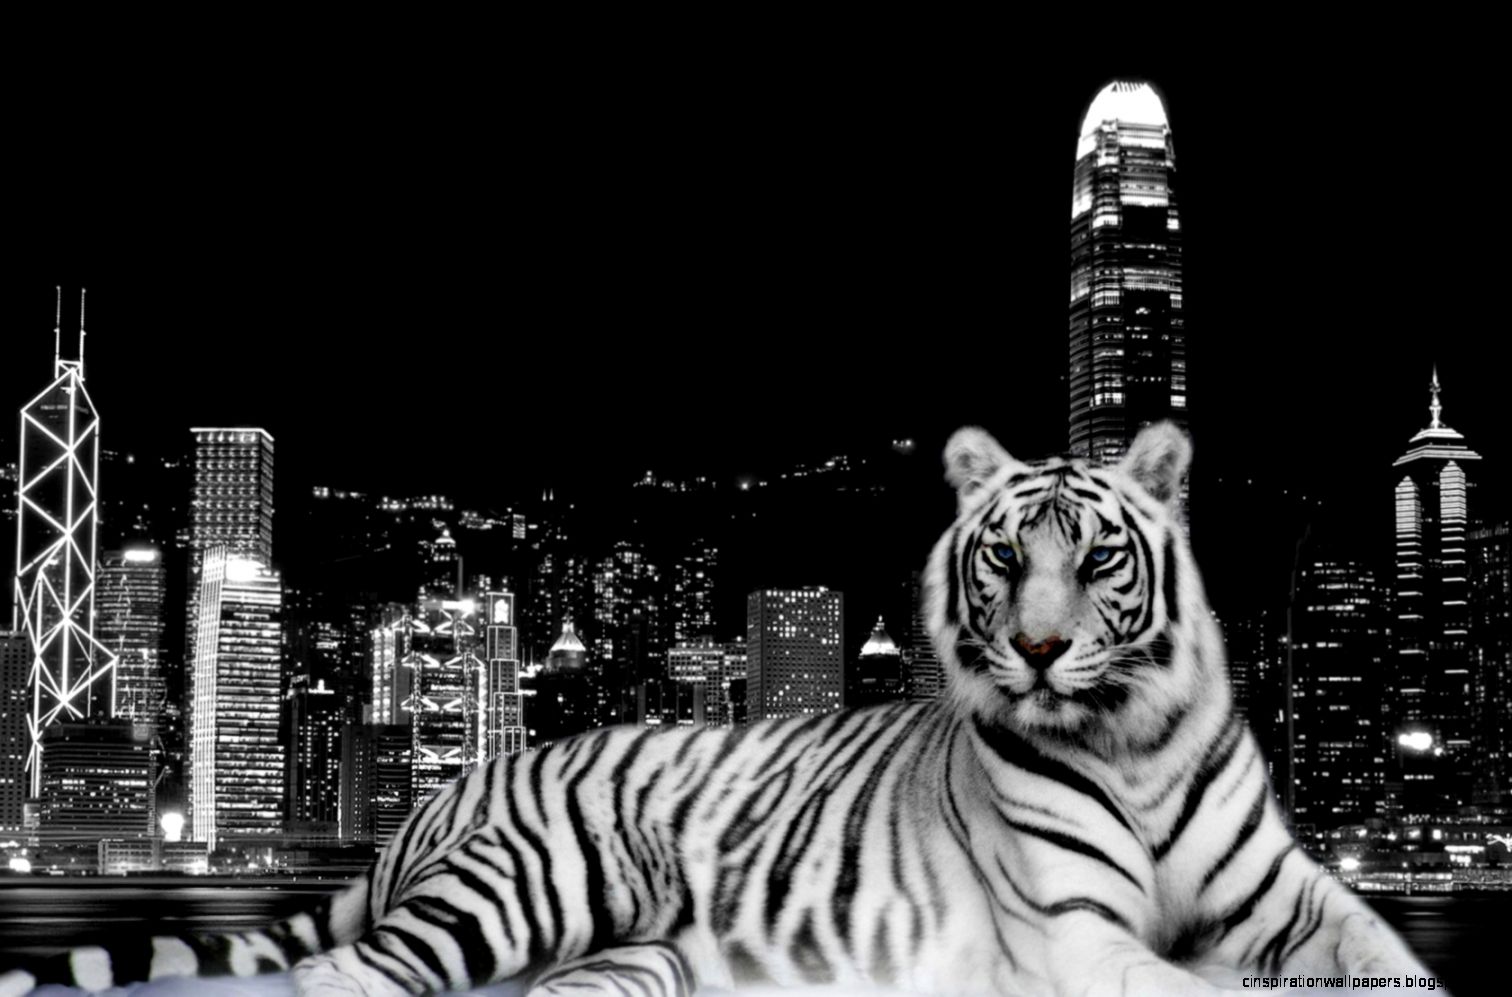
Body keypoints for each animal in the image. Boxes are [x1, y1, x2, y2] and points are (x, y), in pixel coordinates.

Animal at [1, 422, 1441, 997]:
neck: (1133, 743)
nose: (1036, 651)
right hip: (530, 882)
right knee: (345, 975)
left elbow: (1391, 959)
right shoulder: (1078, 933)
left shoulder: (1301, 899)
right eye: (999, 557)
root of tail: (451, 786)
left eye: (1095, 559)